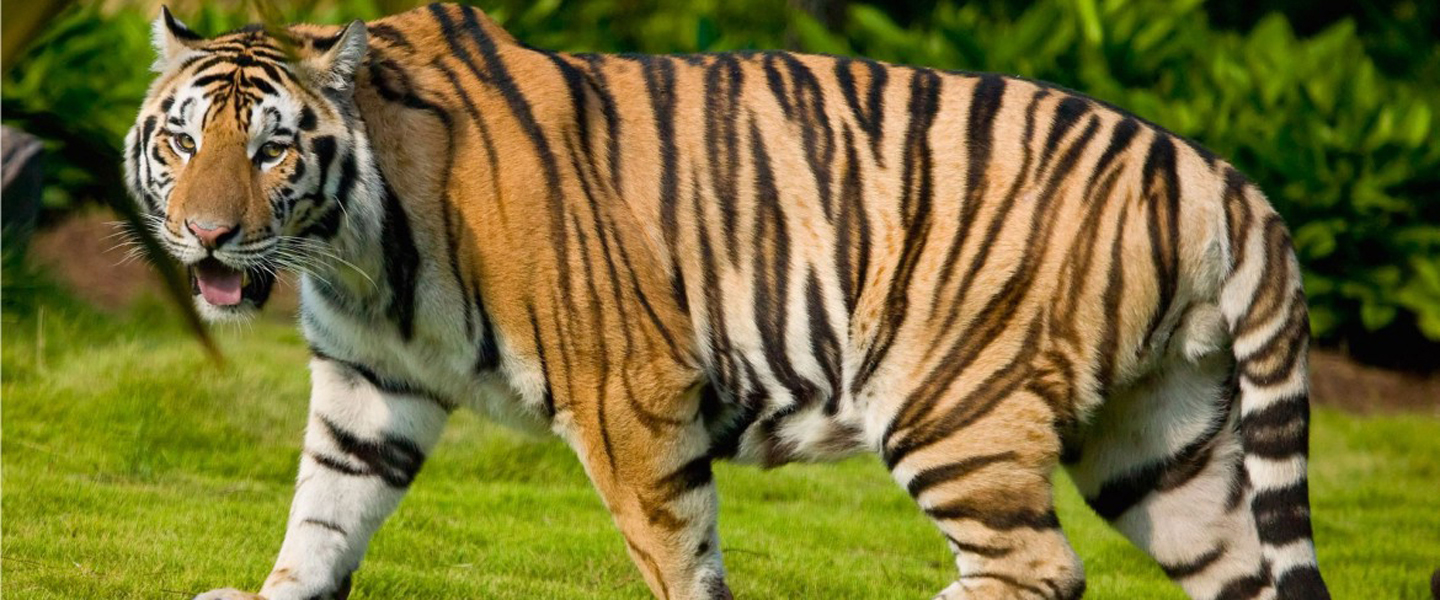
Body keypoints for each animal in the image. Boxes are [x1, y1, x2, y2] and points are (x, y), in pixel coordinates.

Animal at [124, 3, 1330, 599]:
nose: (207, 233)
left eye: (271, 151)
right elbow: (322, 517)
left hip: (953, 405)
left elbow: (677, 556)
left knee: (1038, 567)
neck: (354, 252)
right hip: (1160, 443)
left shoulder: (628, 393)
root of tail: (1217, 172)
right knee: (1235, 571)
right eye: (183, 142)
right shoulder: (369, 386)